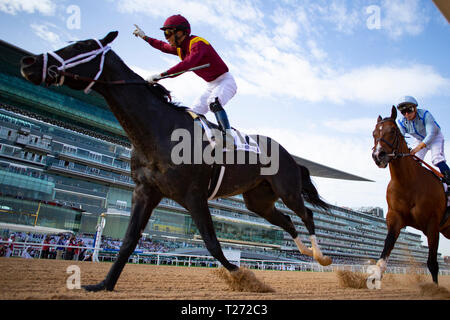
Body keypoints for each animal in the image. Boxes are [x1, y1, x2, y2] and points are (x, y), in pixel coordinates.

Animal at [20, 31, 330, 290]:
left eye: (81, 46)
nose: (28, 62)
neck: (158, 130)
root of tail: (291, 156)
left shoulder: (194, 196)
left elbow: (213, 244)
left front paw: (246, 279)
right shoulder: (145, 191)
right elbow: (128, 241)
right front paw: (103, 285)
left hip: (287, 190)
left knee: (306, 214)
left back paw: (321, 257)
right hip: (258, 200)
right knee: (287, 221)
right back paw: (306, 251)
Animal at [370, 106, 448, 284]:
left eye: (392, 130)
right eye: (374, 133)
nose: (378, 155)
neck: (408, 183)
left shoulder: (432, 224)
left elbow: (432, 263)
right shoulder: (395, 219)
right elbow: (383, 255)